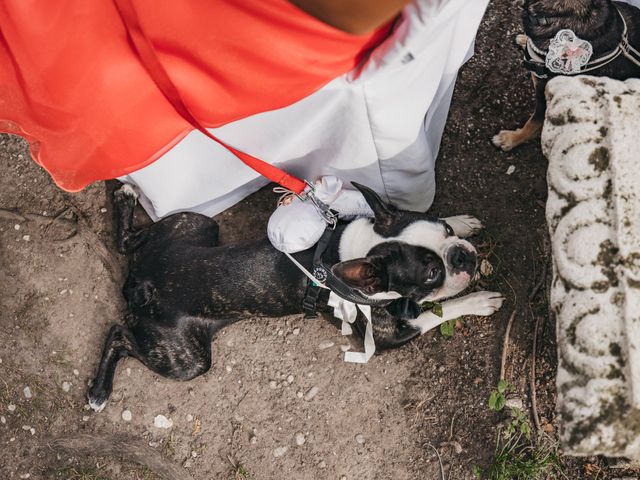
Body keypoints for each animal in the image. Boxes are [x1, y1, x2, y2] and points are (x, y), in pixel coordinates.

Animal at [89, 182, 504, 410]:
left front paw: (464, 221)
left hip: (195, 224)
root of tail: (142, 283)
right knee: (118, 334)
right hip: (187, 360)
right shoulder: (388, 335)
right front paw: (478, 301)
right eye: (432, 274)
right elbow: (437, 312)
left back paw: (125, 198)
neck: (358, 250)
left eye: (444, 230)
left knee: (129, 241)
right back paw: (98, 391)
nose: (463, 256)